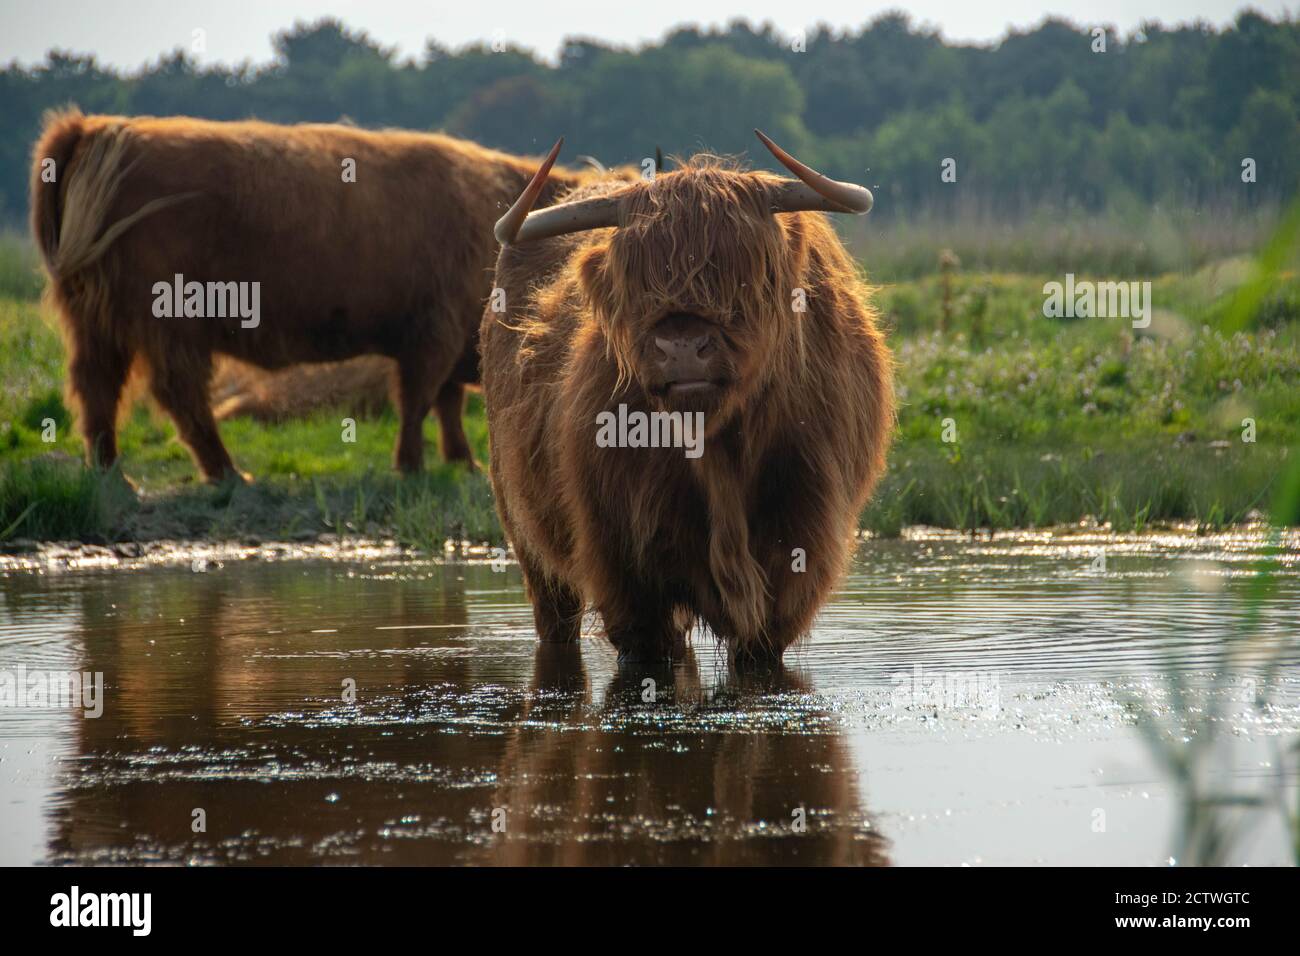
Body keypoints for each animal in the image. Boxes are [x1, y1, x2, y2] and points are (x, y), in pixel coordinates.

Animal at [29, 111, 600, 481]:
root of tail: (103, 128)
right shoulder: (433, 329)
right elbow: (420, 399)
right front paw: (412, 465)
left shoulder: (445, 332)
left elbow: (445, 400)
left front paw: (461, 459)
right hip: (170, 320)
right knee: (178, 394)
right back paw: (226, 473)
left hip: (94, 320)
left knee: (95, 387)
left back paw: (109, 472)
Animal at [480, 131, 895, 667]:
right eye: (637, 281)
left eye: (745, 275)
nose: (681, 347)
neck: (719, 449)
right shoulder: (627, 574)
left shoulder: (797, 554)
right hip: (527, 535)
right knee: (556, 616)